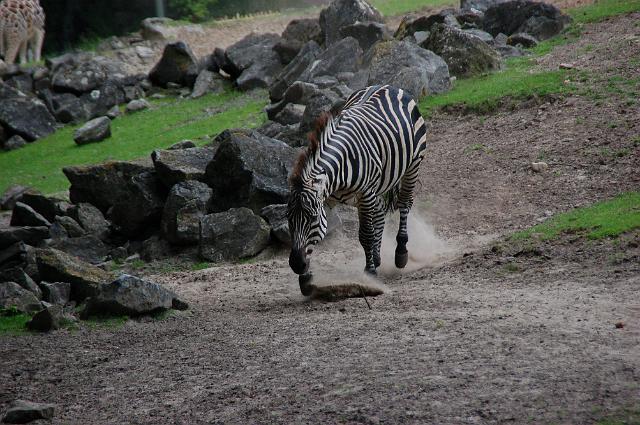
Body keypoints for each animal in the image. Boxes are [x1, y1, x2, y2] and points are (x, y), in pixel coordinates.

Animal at [288, 84, 428, 294]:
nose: (297, 265)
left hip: (413, 165)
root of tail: (388, 85)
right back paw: (377, 258)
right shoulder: (327, 200)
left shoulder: (365, 194)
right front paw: (306, 278)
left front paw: (369, 274)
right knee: (380, 212)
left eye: (312, 218)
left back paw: (400, 252)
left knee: (404, 203)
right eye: (289, 220)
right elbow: (316, 241)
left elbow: (366, 235)